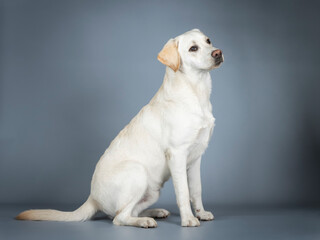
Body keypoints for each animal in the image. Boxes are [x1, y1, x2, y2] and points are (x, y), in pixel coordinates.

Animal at [15, 29, 225, 228]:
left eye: (208, 41)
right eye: (193, 48)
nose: (218, 52)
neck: (196, 92)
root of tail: (92, 198)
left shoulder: (195, 158)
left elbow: (196, 190)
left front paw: (201, 213)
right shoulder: (177, 154)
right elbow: (183, 192)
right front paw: (188, 219)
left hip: (152, 191)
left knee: (124, 212)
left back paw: (154, 212)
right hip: (137, 172)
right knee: (119, 217)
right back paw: (145, 221)